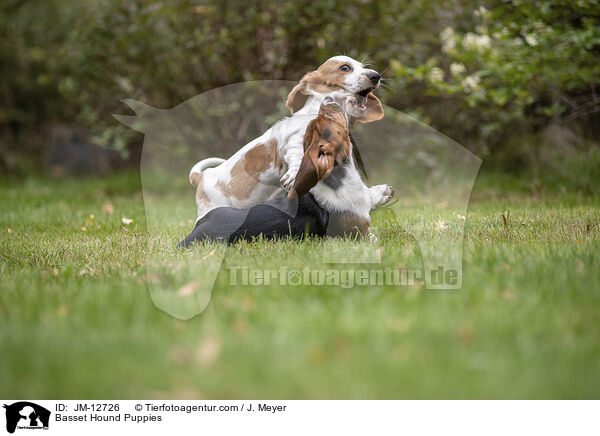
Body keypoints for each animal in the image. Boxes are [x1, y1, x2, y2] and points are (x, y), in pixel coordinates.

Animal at [189, 56, 394, 223]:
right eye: (345, 68)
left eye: (363, 67)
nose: (376, 76)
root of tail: (201, 177)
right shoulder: (295, 142)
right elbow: (298, 157)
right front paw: (294, 174)